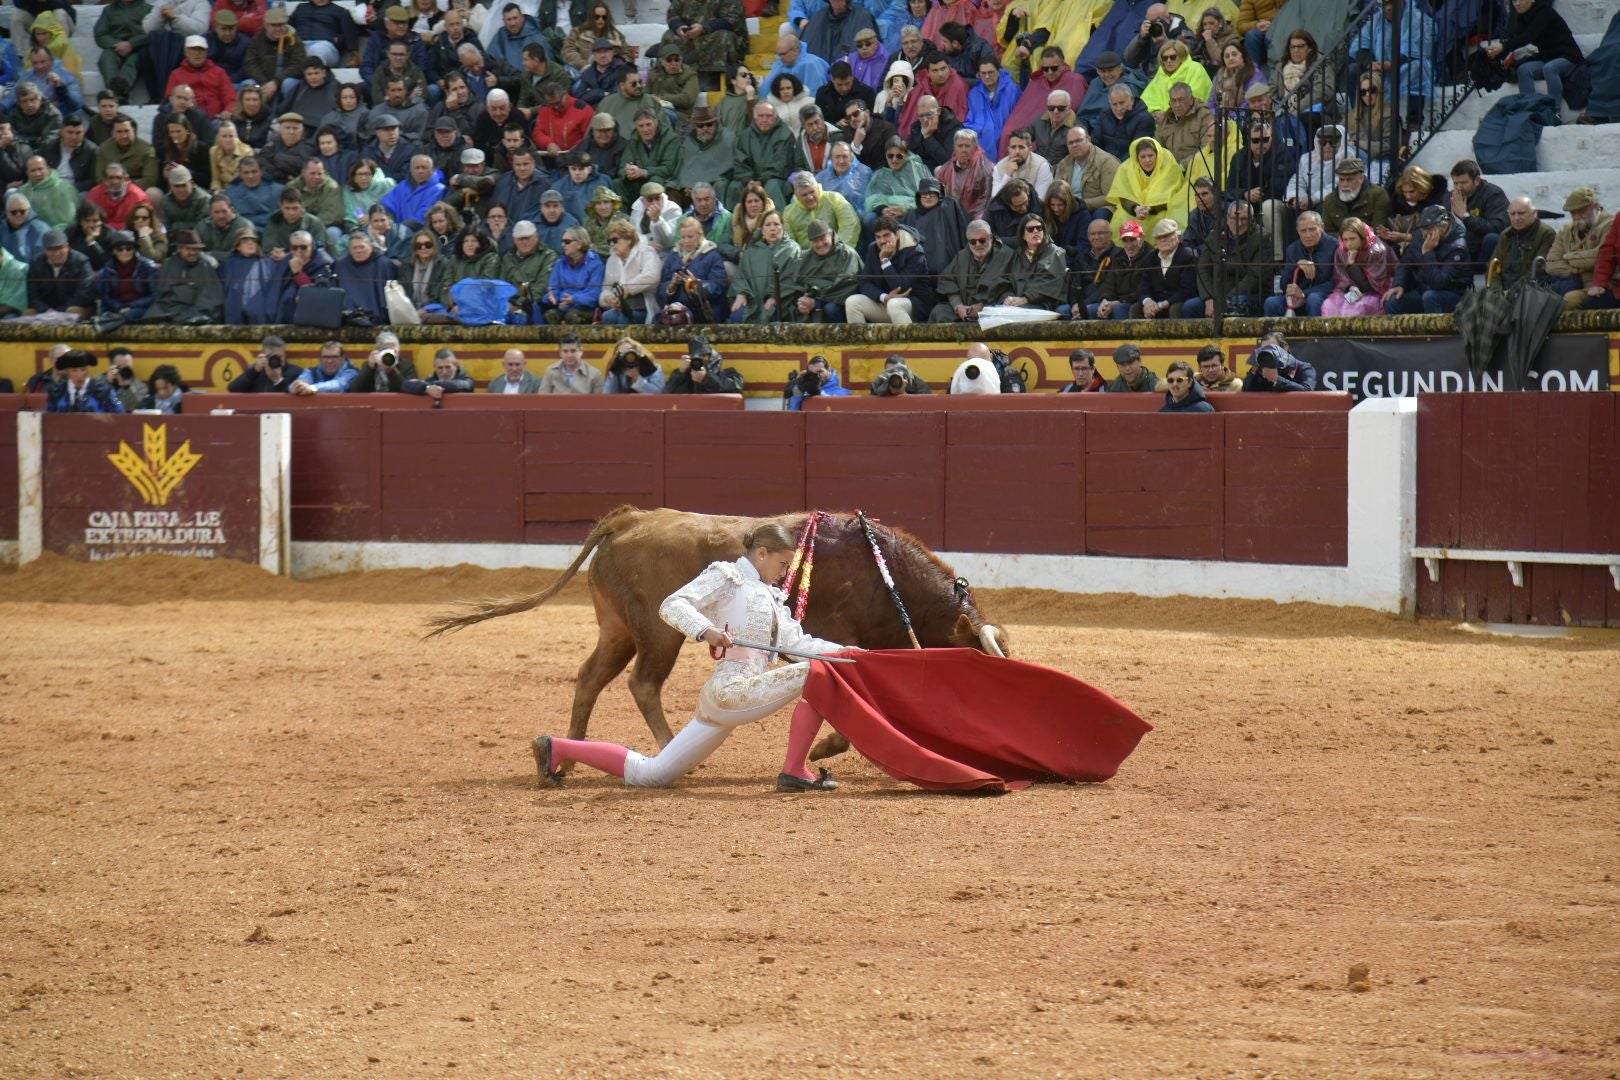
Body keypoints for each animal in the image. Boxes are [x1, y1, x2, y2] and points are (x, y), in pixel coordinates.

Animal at [430, 508, 1010, 761]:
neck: (882, 572)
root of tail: (630, 518)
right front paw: (826, 748)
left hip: (616, 629)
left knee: (591, 677)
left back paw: (569, 752)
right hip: (656, 632)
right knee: (642, 683)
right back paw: (667, 747)